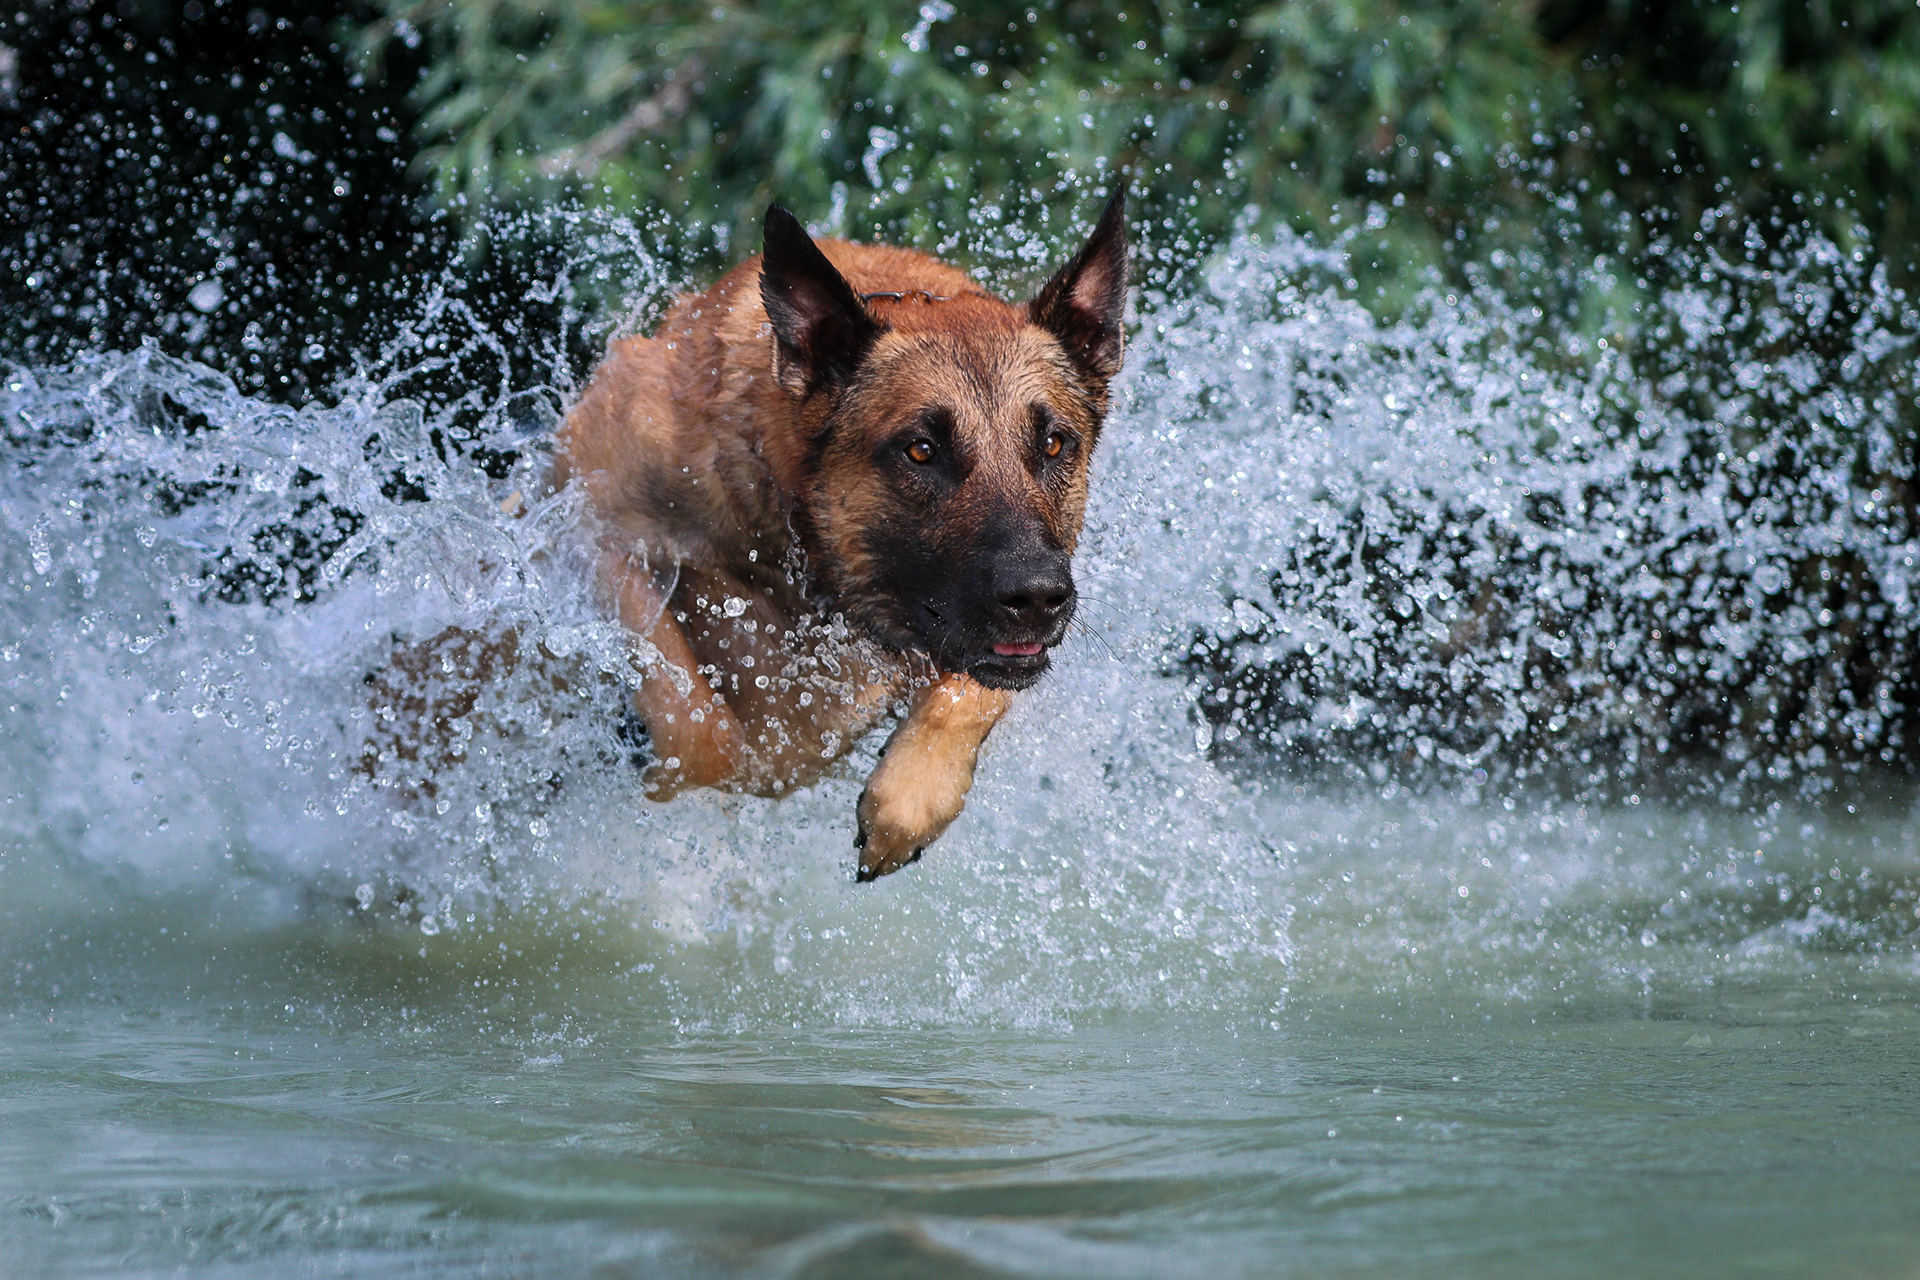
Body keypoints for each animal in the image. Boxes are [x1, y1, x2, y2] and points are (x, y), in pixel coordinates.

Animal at [549, 187, 1127, 879]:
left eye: (1053, 443)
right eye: (921, 450)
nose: (1039, 597)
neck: (801, 551)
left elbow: (975, 691)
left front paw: (910, 799)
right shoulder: (591, 527)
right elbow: (697, 724)